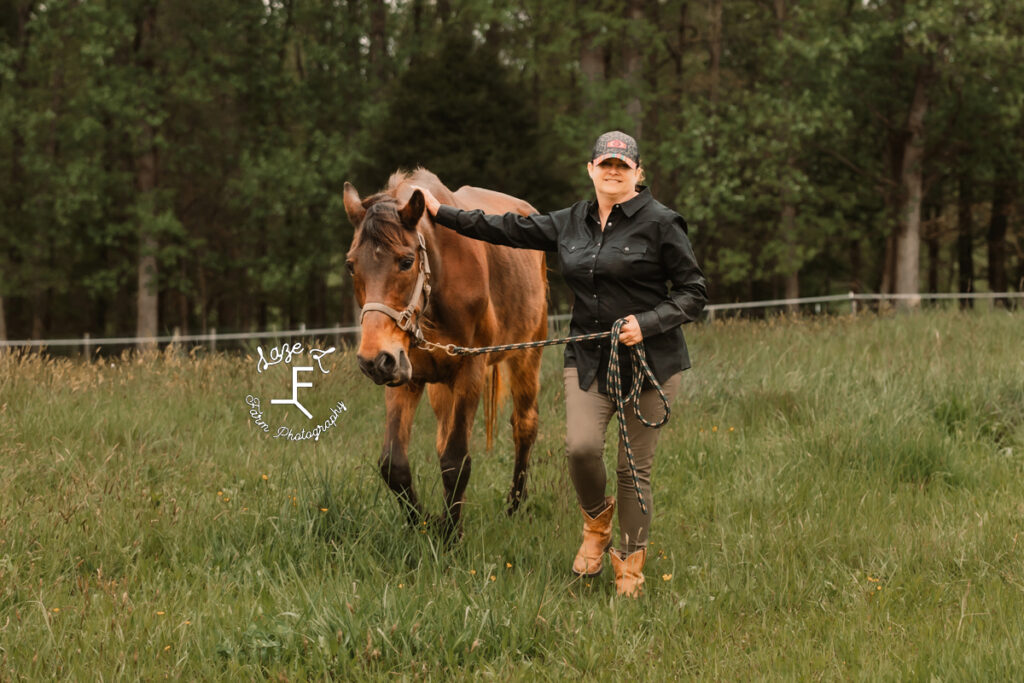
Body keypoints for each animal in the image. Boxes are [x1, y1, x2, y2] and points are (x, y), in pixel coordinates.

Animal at [344, 167, 548, 536]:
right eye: (352, 265)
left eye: (406, 261)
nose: (373, 361)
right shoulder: (404, 375)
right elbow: (394, 463)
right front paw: (423, 524)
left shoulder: (470, 370)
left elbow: (455, 461)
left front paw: (450, 536)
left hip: (527, 355)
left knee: (524, 426)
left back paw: (514, 508)